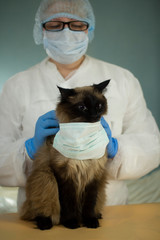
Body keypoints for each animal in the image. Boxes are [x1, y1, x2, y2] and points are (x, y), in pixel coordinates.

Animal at [20, 79, 110, 230]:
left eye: (98, 105)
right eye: (82, 107)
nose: (94, 115)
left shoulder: (93, 176)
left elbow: (89, 204)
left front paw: (90, 222)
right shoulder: (64, 175)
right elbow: (68, 203)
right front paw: (71, 223)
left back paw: (97, 215)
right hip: (46, 176)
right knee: (39, 212)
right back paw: (45, 223)